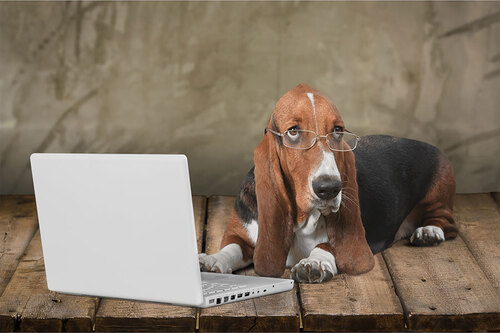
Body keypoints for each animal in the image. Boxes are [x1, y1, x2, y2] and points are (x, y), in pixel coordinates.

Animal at [198, 84, 458, 282]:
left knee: (447, 222)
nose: (329, 189)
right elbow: (231, 248)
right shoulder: (241, 234)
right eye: (293, 131)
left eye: (337, 130)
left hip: (439, 193)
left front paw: (314, 262)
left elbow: (328, 245)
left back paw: (429, 232)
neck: (302, 220)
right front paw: (211, 260)